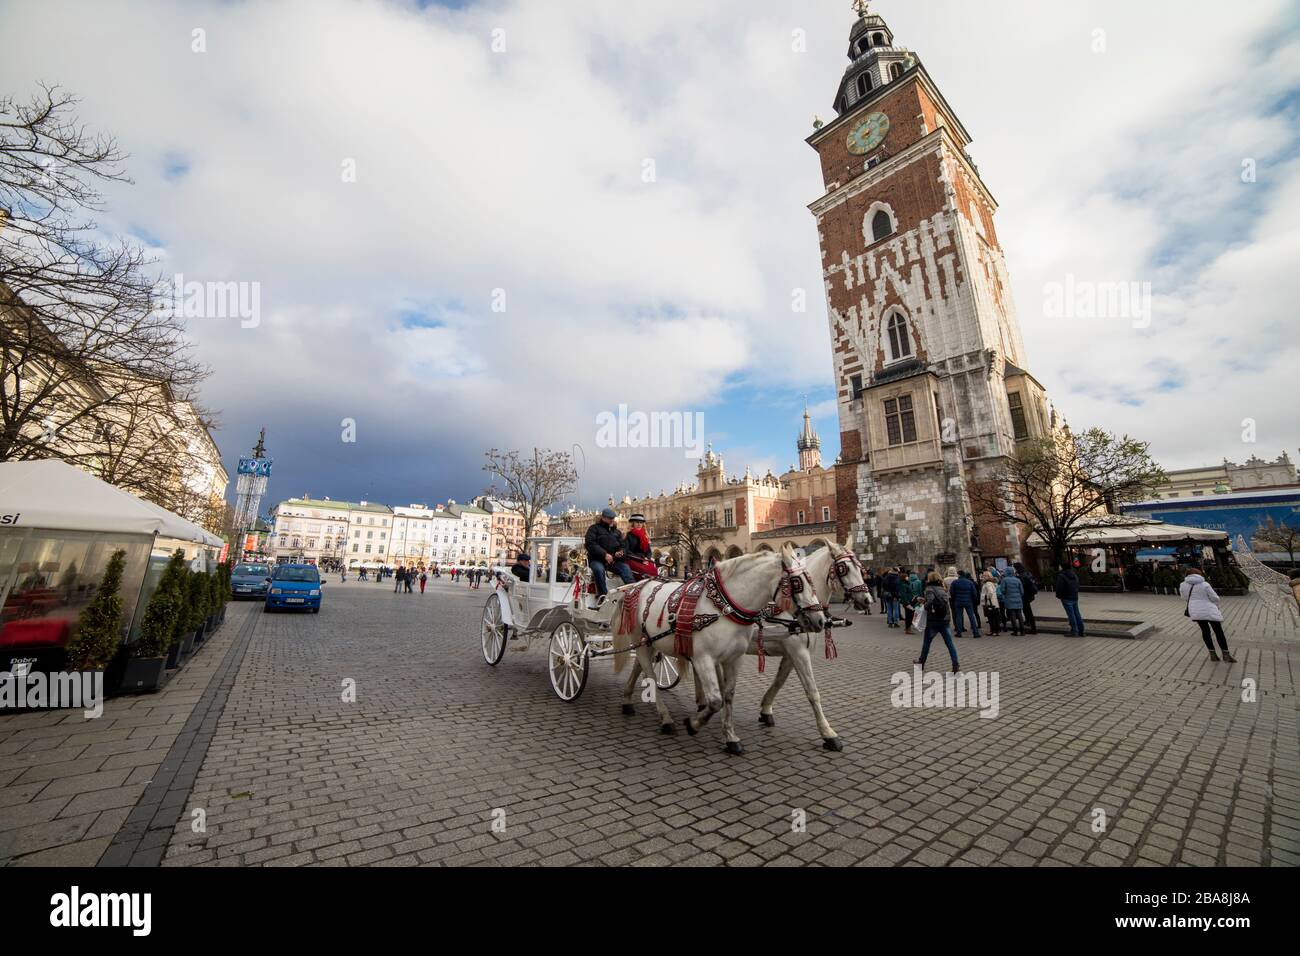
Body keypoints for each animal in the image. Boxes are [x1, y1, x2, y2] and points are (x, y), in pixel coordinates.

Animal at [613, 546, 826, 754]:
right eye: (797, 582)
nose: (820, 621)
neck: (725, 606)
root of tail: (635, 586)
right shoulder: (703, 658)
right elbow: (716, 700)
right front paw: (693, 724)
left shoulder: (734, 659)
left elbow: (728, 696)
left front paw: (731, 737)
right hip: (640, 642)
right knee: (650, 676)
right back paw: (666, 719)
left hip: (651, 643)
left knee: (639, 667)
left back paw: (627, 701)